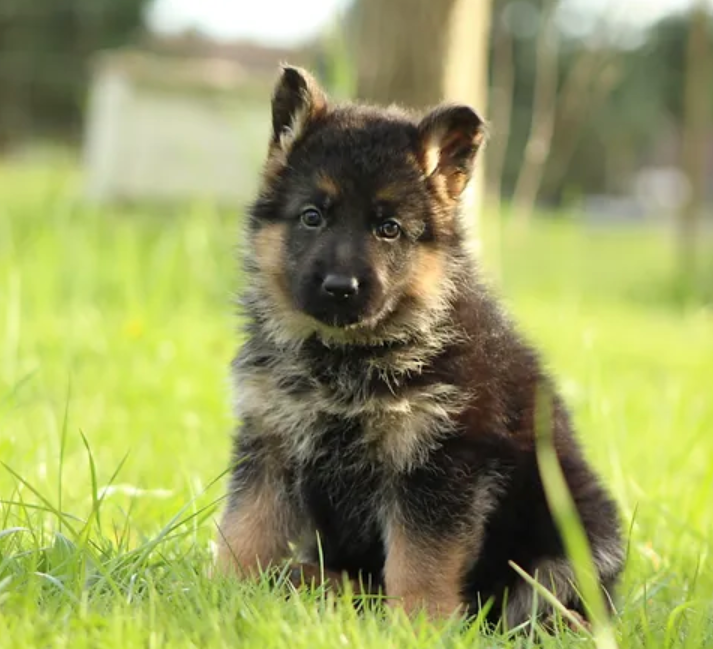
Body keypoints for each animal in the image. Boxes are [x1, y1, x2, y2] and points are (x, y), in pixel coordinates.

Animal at [213, 66, 624, 628]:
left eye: (389, 229)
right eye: (312, 217)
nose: (340, 287)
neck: (348, 354)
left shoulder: (436, 462)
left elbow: (421, 558)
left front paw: (418, 624)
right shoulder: (271, 440)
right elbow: (246, 526)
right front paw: (219, 593)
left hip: (575, 525)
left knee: (540, 598)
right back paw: (317, 583)